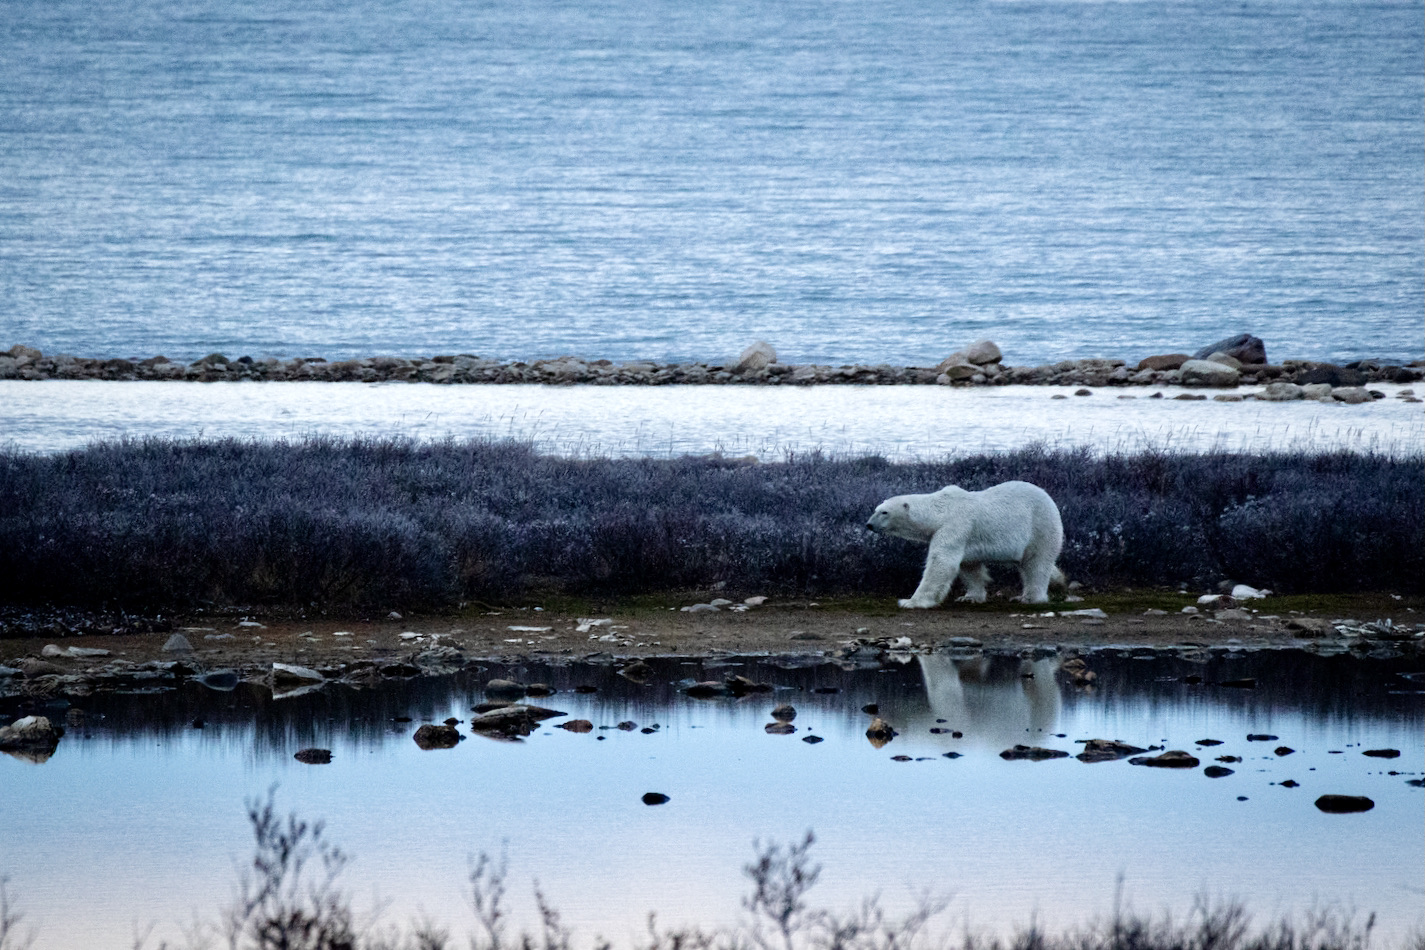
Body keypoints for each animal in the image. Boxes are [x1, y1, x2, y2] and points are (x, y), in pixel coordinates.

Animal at [865, 480, 1065, 608]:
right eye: (875, 509)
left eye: (884, 512)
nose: (869, 525)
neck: (941, 510)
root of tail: (1050, 500)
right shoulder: (966, 537)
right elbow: (970, 567)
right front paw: (970, 597)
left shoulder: (955, 526)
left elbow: (941, 563)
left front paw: (910, 602)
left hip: (1040, 527)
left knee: (1036, 564)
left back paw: (1029, 597)